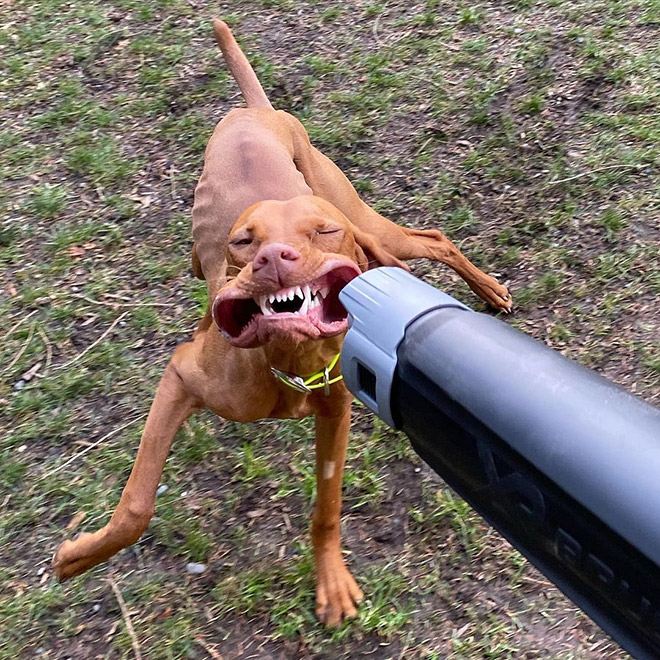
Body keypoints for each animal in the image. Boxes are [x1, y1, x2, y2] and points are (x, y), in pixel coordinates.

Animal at [54, 20, 512, 628]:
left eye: (322, 231)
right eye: (244, 241)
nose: (272, 258)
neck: (292, 364)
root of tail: (256, 111)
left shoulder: (337, 415)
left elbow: (327, 506)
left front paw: (332, 581)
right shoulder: (182, 376)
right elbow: (137, 503)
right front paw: (81, 556)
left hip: (367, 223)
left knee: (433, 239)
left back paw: (490, 291)